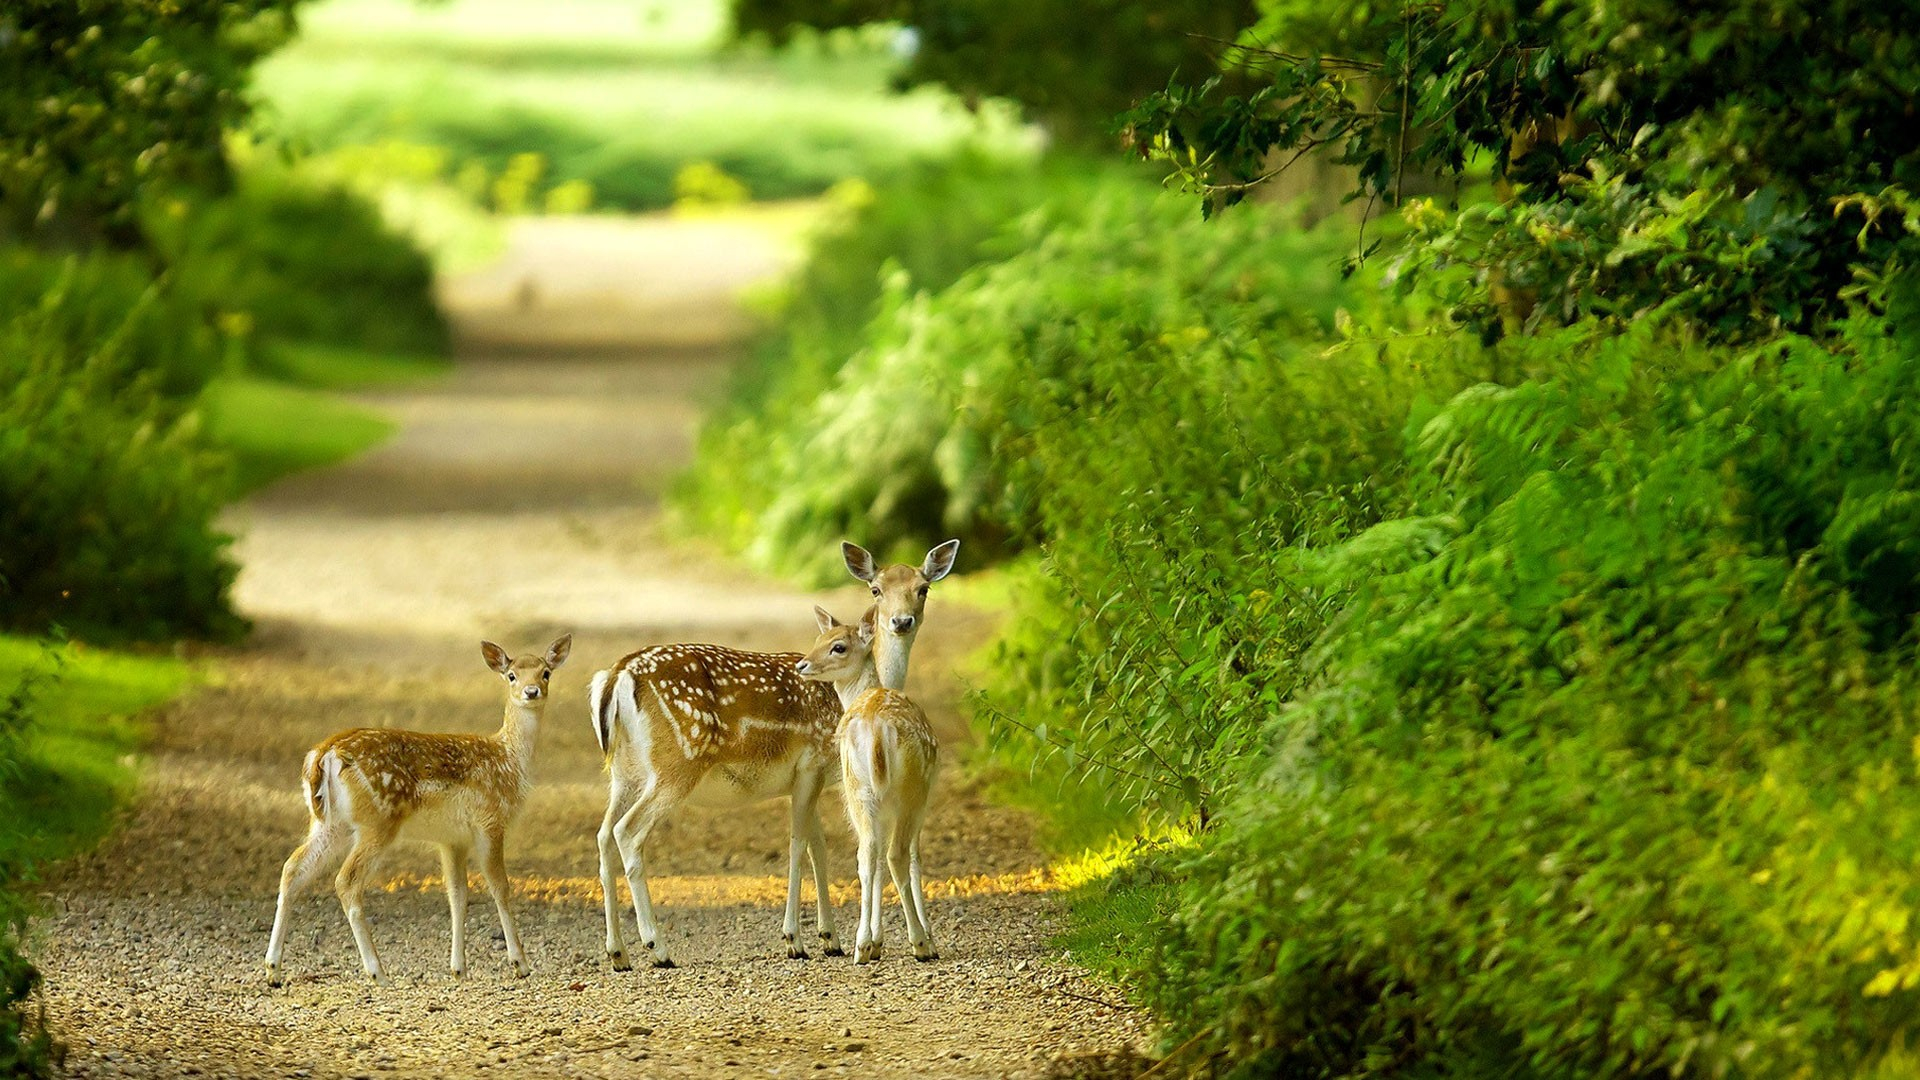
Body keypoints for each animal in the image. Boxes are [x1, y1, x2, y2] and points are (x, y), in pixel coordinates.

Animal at [266, 630, 572, 983]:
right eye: (511, 675)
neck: (509, 759)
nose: (531, 691)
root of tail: (323, 756)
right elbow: (500, 887)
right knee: (346, 881)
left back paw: (273, 968)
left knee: (292, 868)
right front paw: (520, 963)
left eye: (545, 673)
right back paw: (377, 972)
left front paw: (458, 968)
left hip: (330, 823)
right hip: (379, 820)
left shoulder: (452, 838)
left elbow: (458, 895)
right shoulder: (490, 820)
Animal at [794, 599, 936, 960]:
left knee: (867, 854)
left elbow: (871, 859)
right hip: (909, 790)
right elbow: (914, 859)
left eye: (837, 646)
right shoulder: (923, 795)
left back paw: (861, 945)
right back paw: (919, 943)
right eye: (818, 640)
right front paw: (925, 939)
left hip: (858, 789)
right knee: (896, 854)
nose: (802, 664)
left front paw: (876, 940)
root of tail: (876, 731)